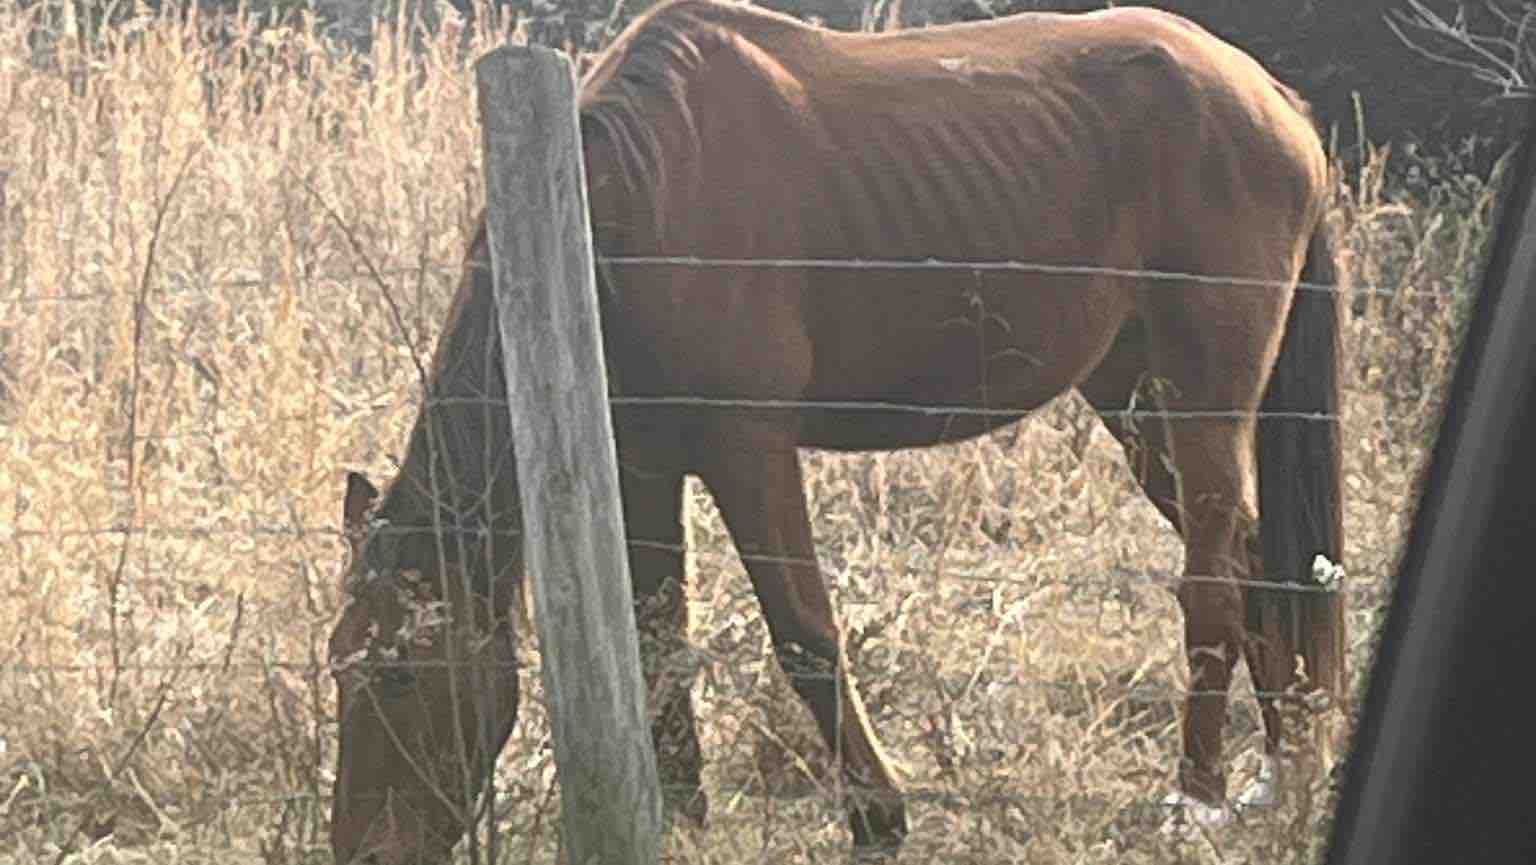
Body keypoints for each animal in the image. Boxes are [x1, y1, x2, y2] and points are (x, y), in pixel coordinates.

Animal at [326, 1, 1346, 861]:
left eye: (401, 675)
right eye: (340, 666)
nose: (363, 851)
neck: (626, 208)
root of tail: (1277, 103)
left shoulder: (748, 449)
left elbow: (804, 632)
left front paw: (878, 813)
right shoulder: (643, 466)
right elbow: (660, 641)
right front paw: (685, 818)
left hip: (1202, 389)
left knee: (1211, 578)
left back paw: (1196, 797)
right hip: (1130, 393)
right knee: (1257, 558)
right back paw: (1281, 766)